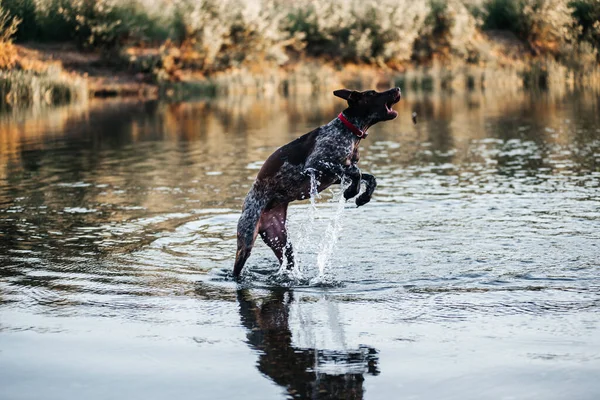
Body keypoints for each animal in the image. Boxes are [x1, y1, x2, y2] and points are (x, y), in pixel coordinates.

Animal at [232, 86, 400, 278]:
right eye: (372, 93)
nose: (397, 88)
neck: (348, 131)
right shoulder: (316, 164)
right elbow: (356, 172)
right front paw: (351, 191)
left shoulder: (334, 176)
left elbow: (368, 177)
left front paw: (363, 196)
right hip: (246, 240)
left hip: (280, 241)